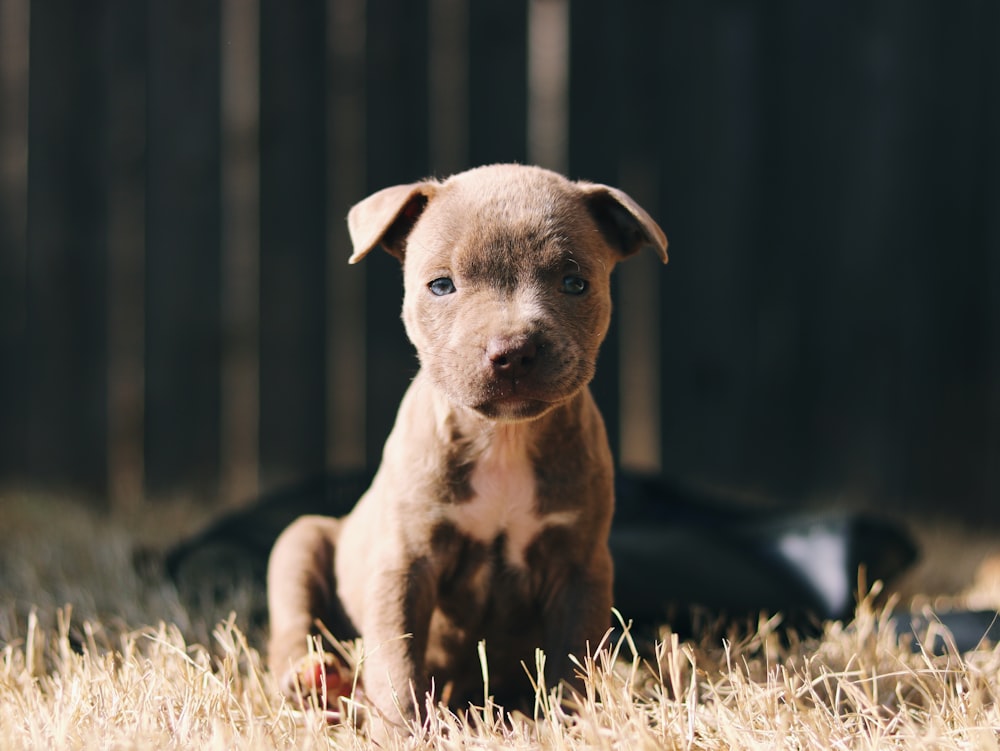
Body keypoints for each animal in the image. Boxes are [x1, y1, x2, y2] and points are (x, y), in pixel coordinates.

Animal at [270, 164, 668, 728]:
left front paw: (572, 722)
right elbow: (398, 659)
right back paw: (315, 677)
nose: (514, 351)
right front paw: (403, 727)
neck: (503, 439)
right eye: (441, 285)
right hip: (300, 541)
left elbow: (574, 658)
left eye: (575, 283)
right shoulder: (405, 561)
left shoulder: (580, 566)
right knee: (292, 623)